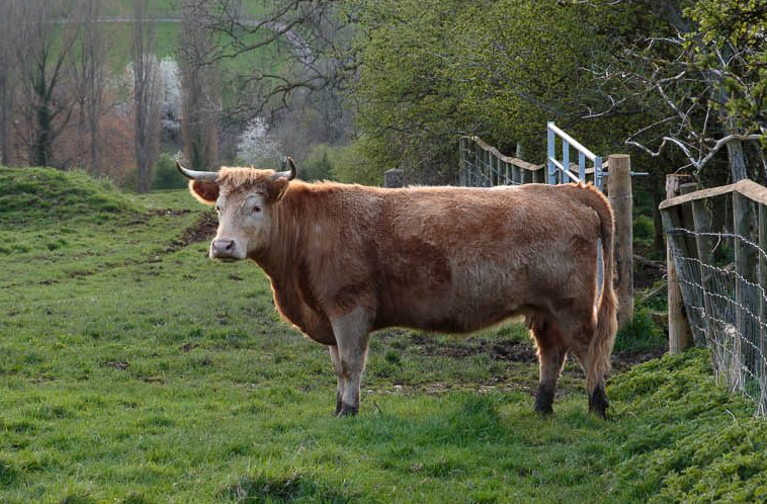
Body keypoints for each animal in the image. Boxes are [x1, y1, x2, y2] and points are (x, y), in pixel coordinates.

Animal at [177, 159, 618, 418]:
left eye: (255, 207)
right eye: (218, 208)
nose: (222, 246)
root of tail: (569, 190)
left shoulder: (350, 310)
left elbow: (351, 363)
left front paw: (349, 410)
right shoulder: (328, 315)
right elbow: (337, 366)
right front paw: (338, 407)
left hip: (573, 306)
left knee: (589, 351)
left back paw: (597, 406)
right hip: (543, 310)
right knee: (552, 353)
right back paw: (542, 407)